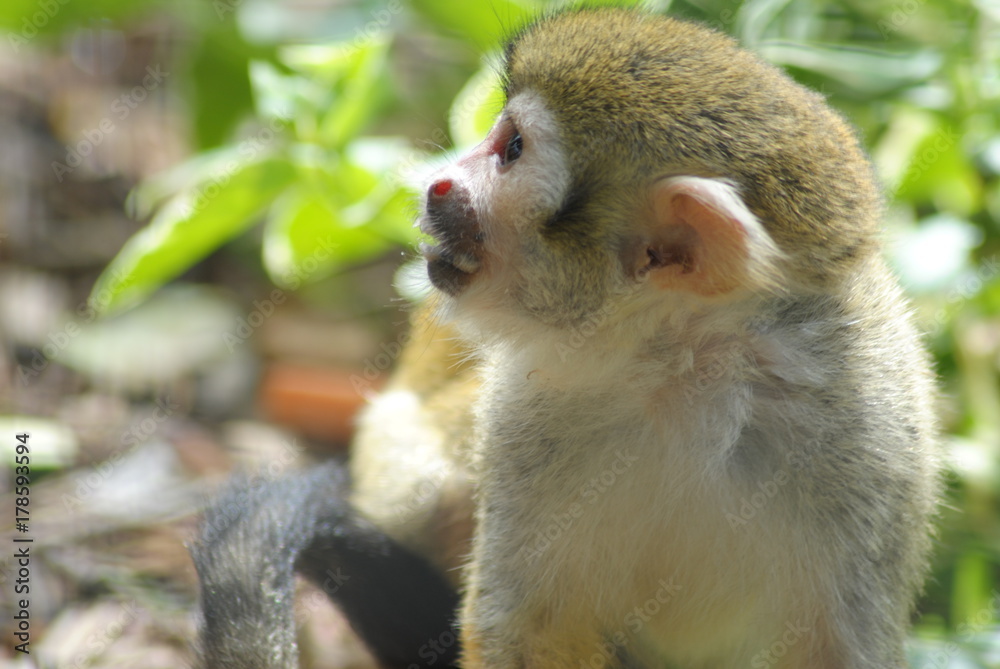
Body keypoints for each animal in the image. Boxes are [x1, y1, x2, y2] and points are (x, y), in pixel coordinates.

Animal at [191, 6, 940, 669]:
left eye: (512, 149)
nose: (437, 181)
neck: (685, 366)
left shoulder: (866, 426)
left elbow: (838, 646)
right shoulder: (525, 414)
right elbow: (528, 626)